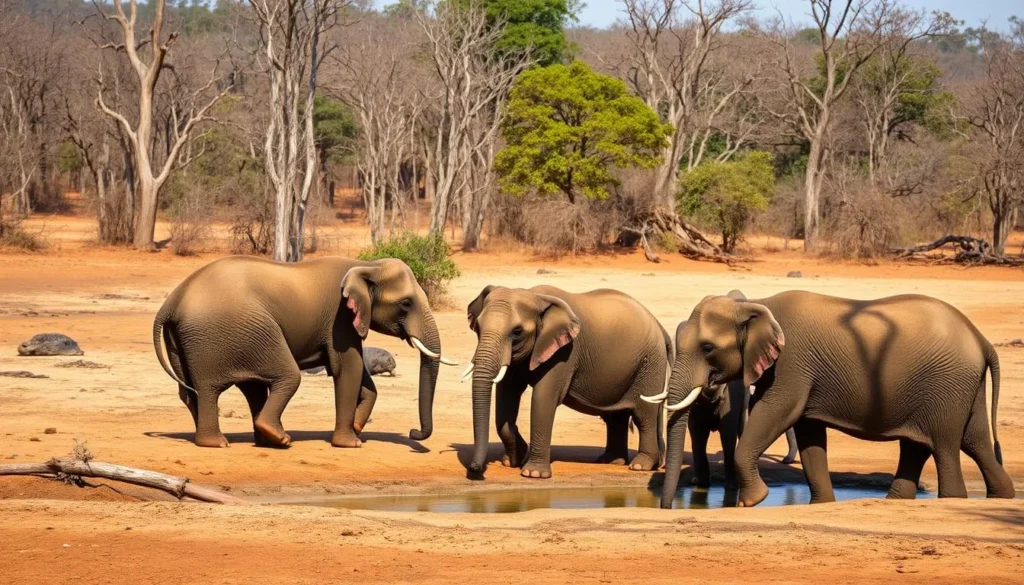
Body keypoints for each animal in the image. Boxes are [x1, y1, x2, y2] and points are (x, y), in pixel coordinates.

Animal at [152, 256, 455, 449]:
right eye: (406, 304)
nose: (413, 432)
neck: (368, 266)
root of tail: (172, 301)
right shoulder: (339, 318)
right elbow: (348, 368)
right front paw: (351, 443)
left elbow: (363, 378)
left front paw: (357, 429)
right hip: (233, 332)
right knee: (269, 379)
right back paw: (246, 441)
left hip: (192, 340)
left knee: (203, 390)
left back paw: (257, 440)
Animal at [464, 285, 669, 478]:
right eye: (478, 327)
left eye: (517, 331)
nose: (475, 469)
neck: (535, 296)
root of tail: (659, 326)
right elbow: (507, 395)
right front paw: (512, 461)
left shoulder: (565, 351)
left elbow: (543, 399)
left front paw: (533, 474)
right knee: (615, 416)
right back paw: (611, 461)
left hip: (650, 364)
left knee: (644, 415)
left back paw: (640, 466)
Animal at [649, 290, 1014, 508]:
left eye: (708, 348)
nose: (667, 507)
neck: (754, 304)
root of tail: (981, 340)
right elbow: (809, 433)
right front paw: (821, 505)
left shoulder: (792, 364)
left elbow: (776, 413)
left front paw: (751, 502)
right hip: (958, 385)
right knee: (969, 442)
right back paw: (999, 497)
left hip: (947, 384)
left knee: (944, 446)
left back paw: (954, 499)